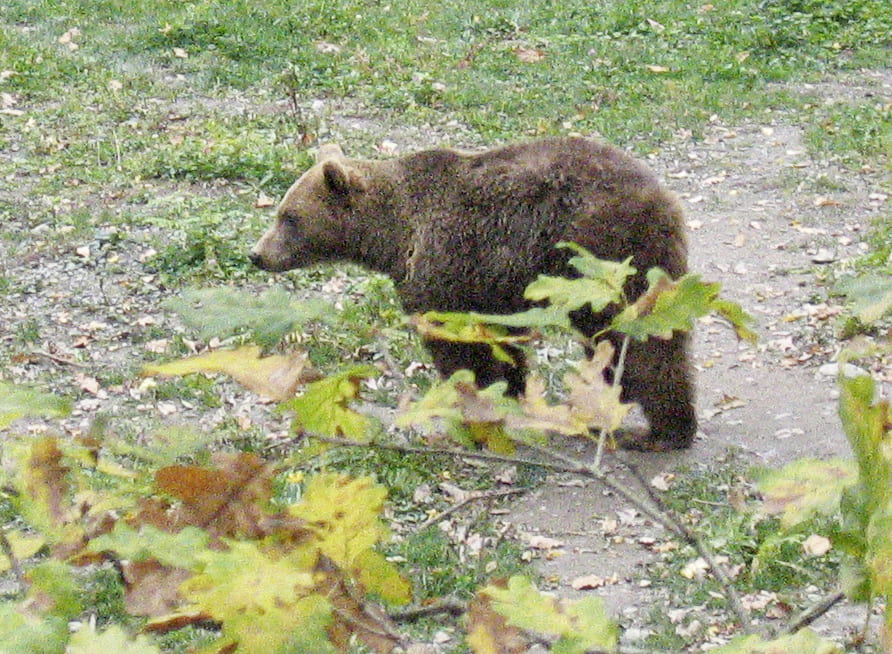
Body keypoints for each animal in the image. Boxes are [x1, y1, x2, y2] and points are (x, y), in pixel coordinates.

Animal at [251, 138, 696, 452]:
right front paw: (509, 396)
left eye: (289, 217)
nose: (257, 254)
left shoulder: (444, 269)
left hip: (602, 257)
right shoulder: (490, 285)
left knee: (637, 343)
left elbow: (459, 349)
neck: (394, 236)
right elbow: (501, 345)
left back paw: (662, 431)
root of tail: (664, 200)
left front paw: (471, 413)